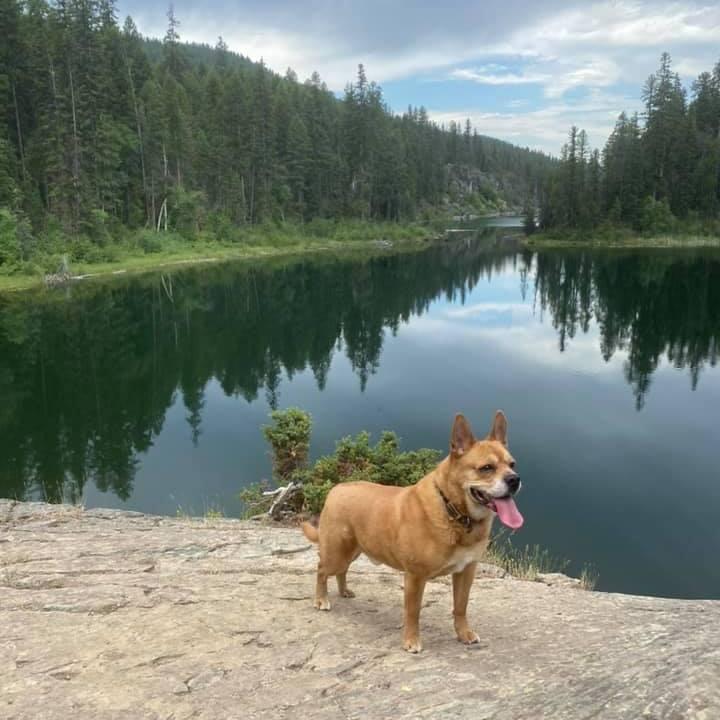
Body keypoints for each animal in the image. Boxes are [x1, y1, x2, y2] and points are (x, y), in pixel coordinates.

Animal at [300, 410, 524, 652]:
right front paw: (411, 640)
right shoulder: (416, 576)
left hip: (354, 551)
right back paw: (321, 599)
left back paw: (343, 591)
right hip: (337, 553)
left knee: (341, 571)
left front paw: (463, 633)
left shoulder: (466, 572)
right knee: (322, 570)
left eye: (512, 464)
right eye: (486, 468)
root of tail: (337, 488)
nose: (514, 479)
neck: (453, 511)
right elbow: (413, 611)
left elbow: (460, 606)